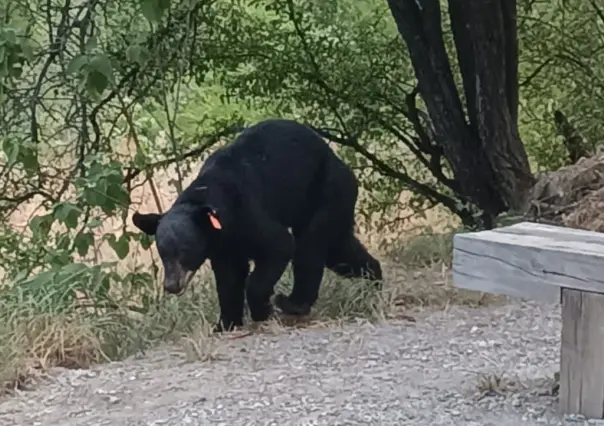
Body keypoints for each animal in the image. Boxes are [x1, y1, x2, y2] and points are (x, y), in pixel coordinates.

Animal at [132, 118, 382, 332]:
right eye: (163, 252)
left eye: (185, 250)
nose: (171, 285)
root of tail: (340, 162)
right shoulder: (222, 246)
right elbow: (228, 279)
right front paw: (225, 323)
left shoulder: (247, 214)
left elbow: (278, 246)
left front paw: (262, 309)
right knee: (338, 251)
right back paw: (374, 279)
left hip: (327, 192)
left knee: (309, 247)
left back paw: (293, 303)